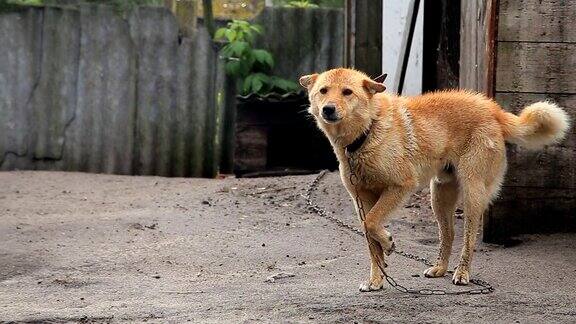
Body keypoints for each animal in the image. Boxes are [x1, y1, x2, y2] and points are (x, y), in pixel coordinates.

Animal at [302, 68, 572, 292]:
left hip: (472, 193)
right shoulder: (362, 200)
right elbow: (370, 237)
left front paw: (388, 243)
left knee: (468, 238)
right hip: (439, 196)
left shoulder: (400, 186)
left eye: (347, 92)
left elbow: (373, 223)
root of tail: (492, 109)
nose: (328, 109)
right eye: (323, 91)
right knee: (448, 234)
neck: (367, 131)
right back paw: (440, 268)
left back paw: (462, 273)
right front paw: (376, 280)